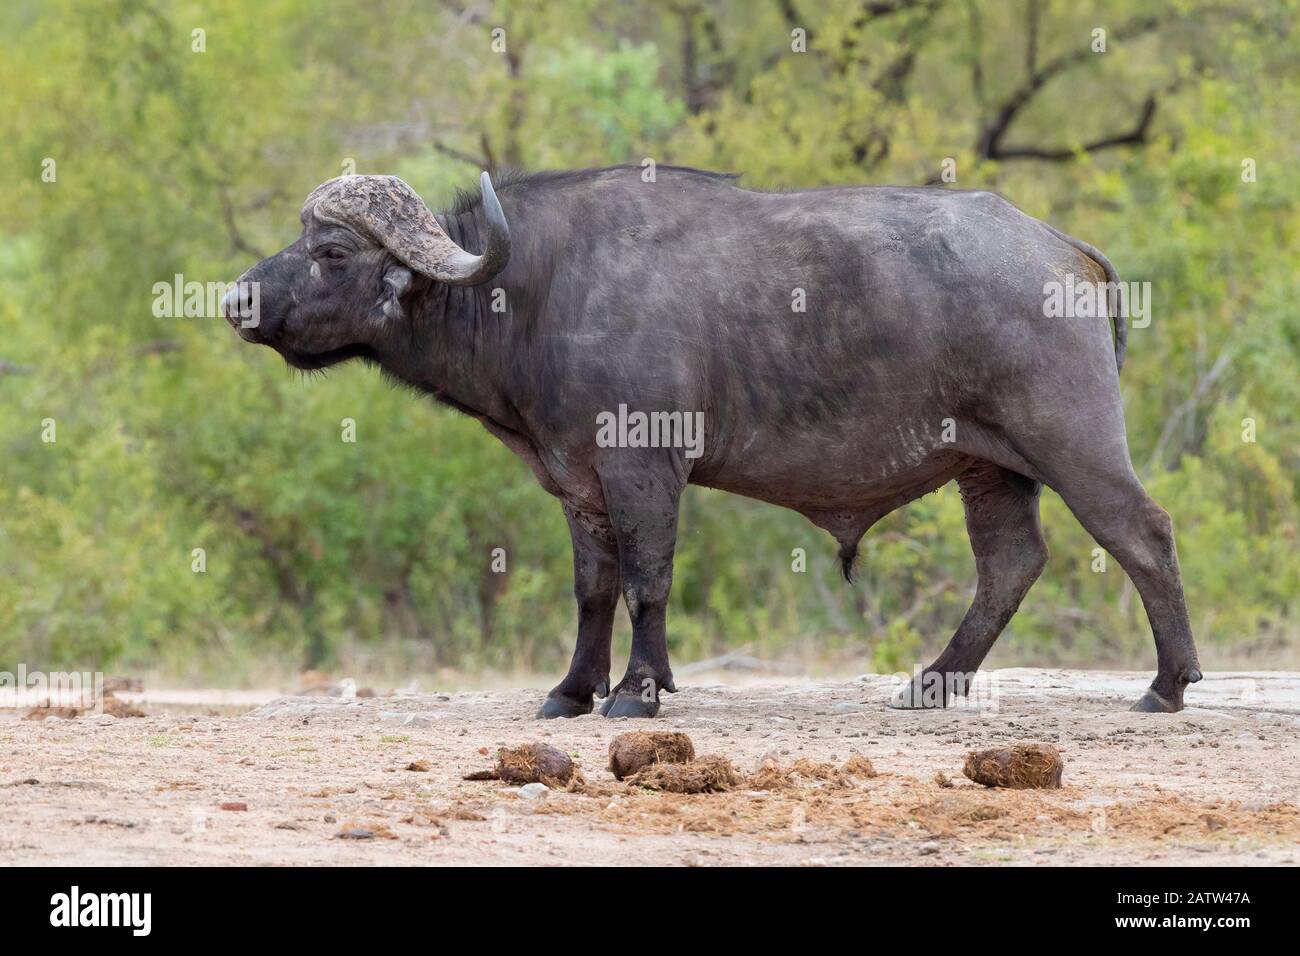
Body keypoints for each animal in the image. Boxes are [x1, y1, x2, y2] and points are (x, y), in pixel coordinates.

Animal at [226, 166, 1206, 717]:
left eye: (333, 253)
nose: (236, 299)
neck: (539, 290)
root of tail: (1062, 249)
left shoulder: (644, 466)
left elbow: (648, 580)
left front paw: (636, 693)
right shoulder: (580, 483)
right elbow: (594, 587)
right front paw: (572, 691)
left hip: (1071, 443)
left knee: (1143, 534)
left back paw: (1167, 685)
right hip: (990, 467)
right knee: (1011, 564)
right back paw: (933, 683)